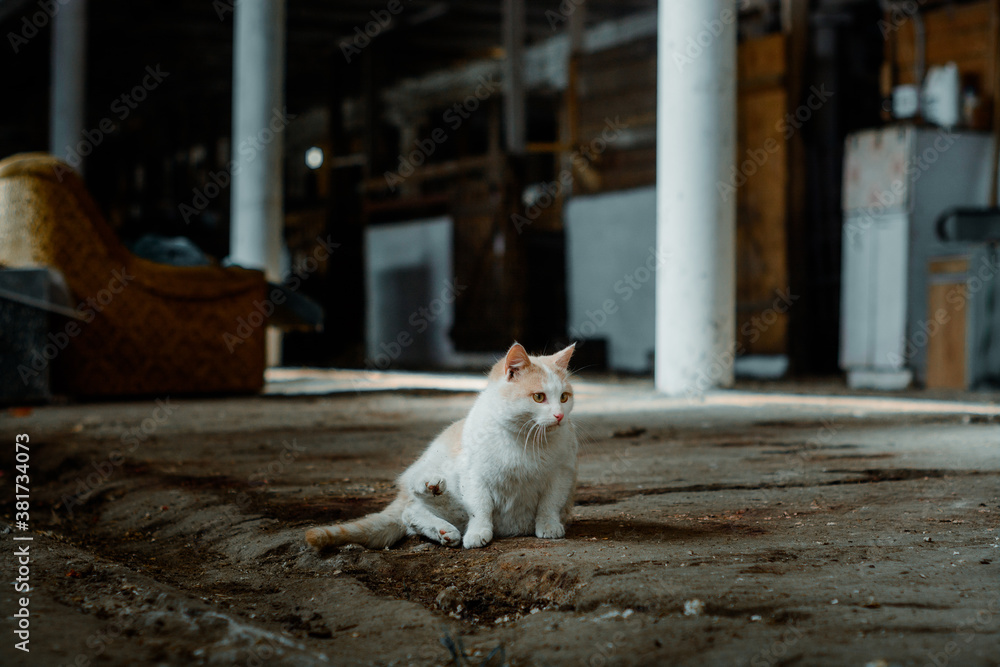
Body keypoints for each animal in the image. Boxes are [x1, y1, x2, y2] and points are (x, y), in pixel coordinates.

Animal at [302, 342, 580, 552]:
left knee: (412, 515)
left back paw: (444, 530)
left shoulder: (561, 475)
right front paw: (478, 532)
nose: (559, 416)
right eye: (539, 397)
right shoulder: (474, 476)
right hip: (443, 475)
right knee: (412, 507)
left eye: (564, 397)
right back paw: (431, 489)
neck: (525, 439)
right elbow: (480, 508)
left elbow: (549, 504)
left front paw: (549, 526)